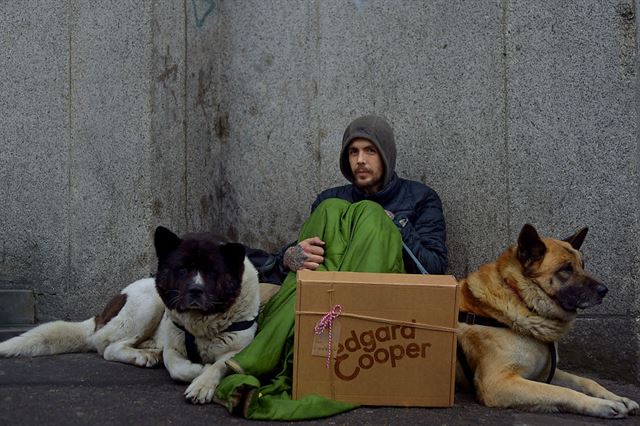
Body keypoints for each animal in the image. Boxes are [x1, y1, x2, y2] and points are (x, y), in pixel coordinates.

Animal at [0, 226, 260, 402]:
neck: (202, 324)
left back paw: (150, 351)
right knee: (108, 347)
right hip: (148, 303)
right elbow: (179, 367)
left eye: (212, 272)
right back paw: (142, 356)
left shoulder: (240, 351)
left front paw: (203, 384)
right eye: (182, 269)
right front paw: (199, 372)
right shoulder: (174, 347)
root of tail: (101, 315)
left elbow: (221, 364)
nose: (195, 290)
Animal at [458, 225, 636, 418]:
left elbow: (587, 381)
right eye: (566, 269)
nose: (604, 290)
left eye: (582, 266)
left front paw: (619, 398)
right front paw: (601, 405)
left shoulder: (545, 373)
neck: (521, 299)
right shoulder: (497, 382)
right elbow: (561, 391)